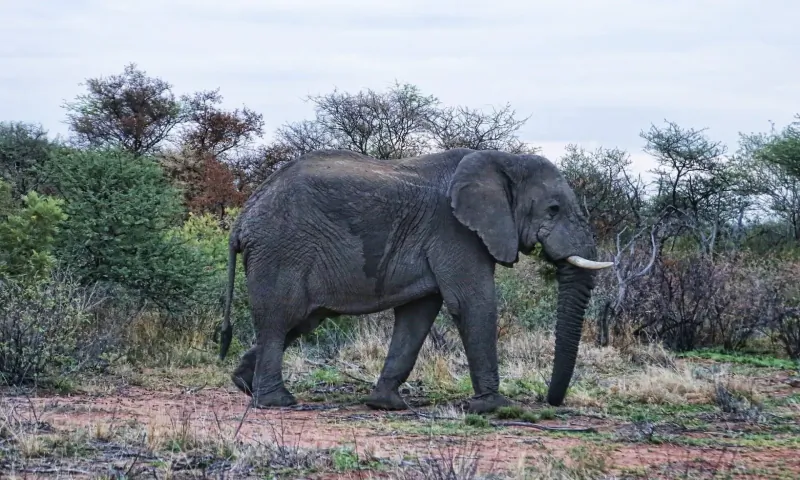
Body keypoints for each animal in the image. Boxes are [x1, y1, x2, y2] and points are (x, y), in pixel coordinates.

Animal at [217, 147, 612, 413]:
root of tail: (242, 219)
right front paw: (496, 407)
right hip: (280, 251)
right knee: (278, 320)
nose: (551, 401)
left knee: (298, 322)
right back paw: (277, 402)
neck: (502, 160)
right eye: (553, 210)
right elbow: (473, 303)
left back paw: (244, 384)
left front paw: (387, 404)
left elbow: (417, 315)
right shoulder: (455, 231)